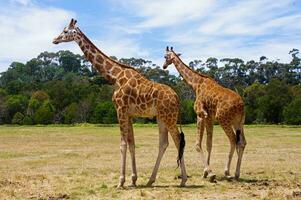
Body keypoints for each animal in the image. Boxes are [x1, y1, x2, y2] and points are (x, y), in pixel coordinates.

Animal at [52, 19, 186, 188]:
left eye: (65, 31)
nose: (54, 40)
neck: (115, 77)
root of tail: (177, 97)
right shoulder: (128, 113)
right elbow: (131, 143)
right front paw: (133, 179)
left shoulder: (120, 109)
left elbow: (122, 144)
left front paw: (120, 181)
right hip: (161, 117)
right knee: (164, 143)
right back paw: (151, 180)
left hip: (169, 117)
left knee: (178, 140)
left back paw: (183, 179)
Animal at [162, 47, 246, 181]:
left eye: (165, 56)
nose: (164, 66)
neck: (196, 84)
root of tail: (241, 106)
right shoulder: (209, 118)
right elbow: (209, 144)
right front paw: (205, 172)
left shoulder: (201, 114)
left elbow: (198, 144)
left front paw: (210, 173)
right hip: (238, 122)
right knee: (242, 142)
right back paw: (237, 173)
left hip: (224, 120)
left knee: (233, 140)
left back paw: (227, 172)